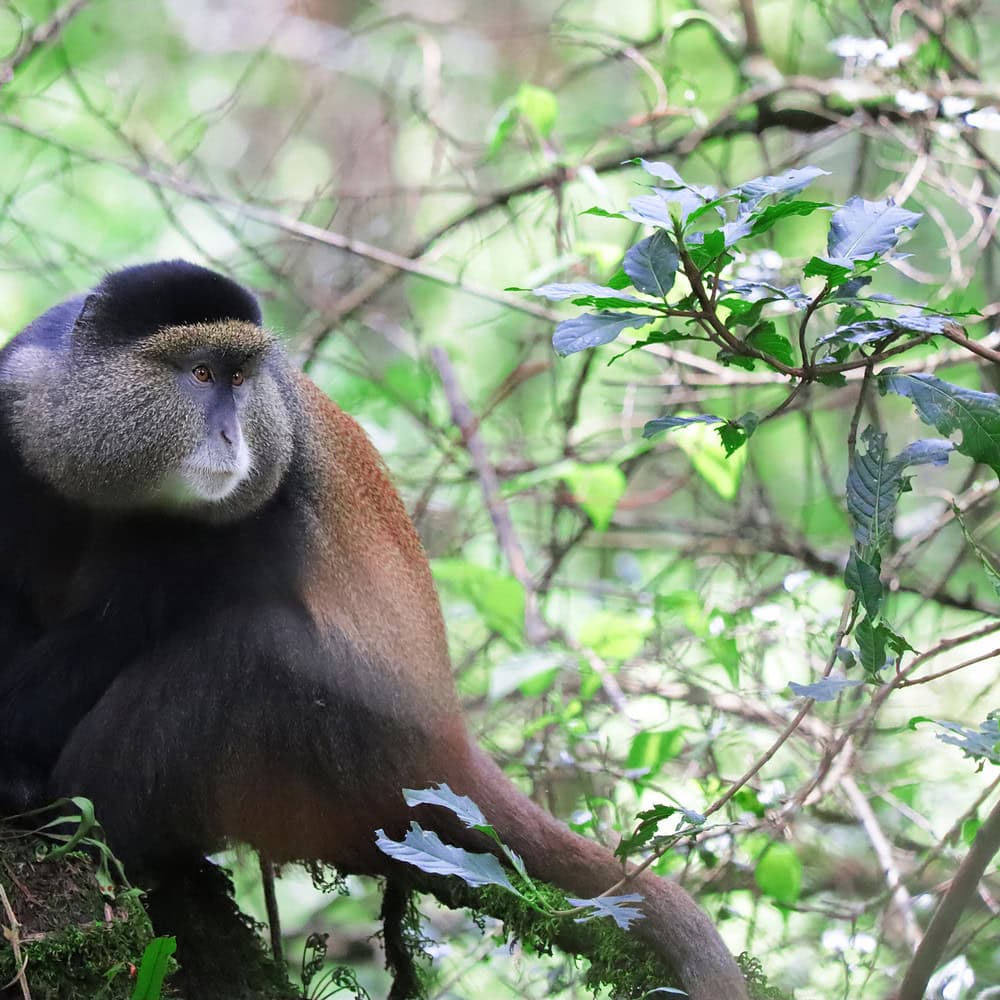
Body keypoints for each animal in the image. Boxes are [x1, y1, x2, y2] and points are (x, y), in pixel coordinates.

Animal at [0, 261, 748, 999]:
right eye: (202, 373)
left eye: (241, 378)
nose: (231, 436)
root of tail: (448, 744)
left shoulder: (239, 517)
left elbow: (111, 634)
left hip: (343, 755)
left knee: (251, 653)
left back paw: (77, 818)